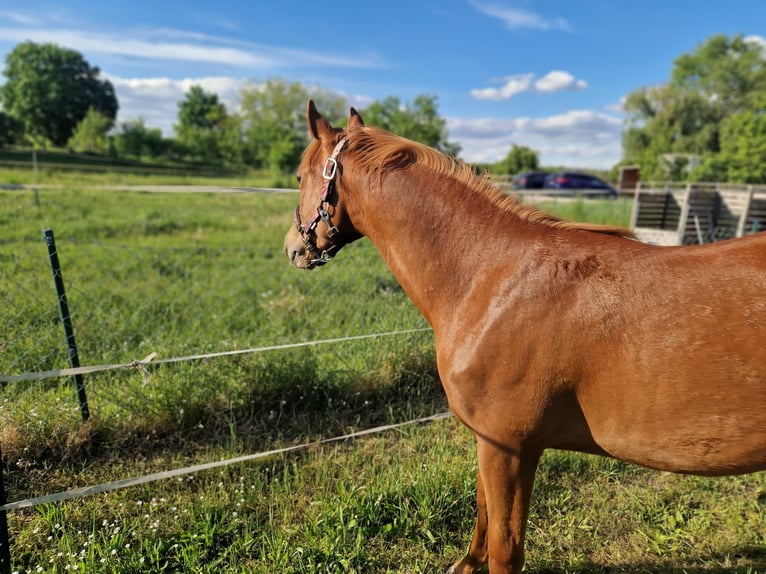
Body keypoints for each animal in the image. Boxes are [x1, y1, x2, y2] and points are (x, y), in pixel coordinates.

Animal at [286, 101, 766, 572]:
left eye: (299, 176)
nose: (293, 247)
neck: (494, 279)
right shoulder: (492, 443)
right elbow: (482, 513)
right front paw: (467, 562)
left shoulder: (511, 449)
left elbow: (505, 549)